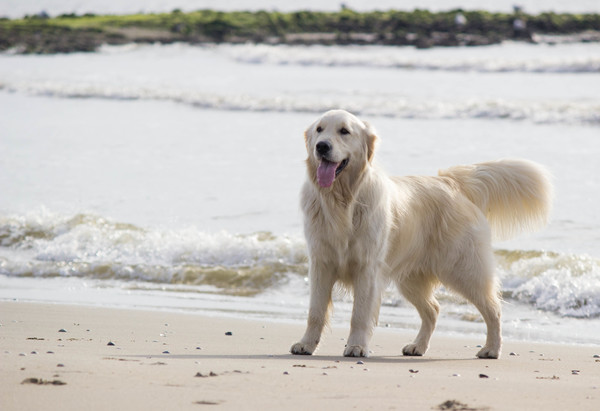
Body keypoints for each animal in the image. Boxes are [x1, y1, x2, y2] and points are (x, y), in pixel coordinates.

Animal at [290, 110, 552, 360]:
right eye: (319, 129)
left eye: (344, 131)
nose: (321, 146)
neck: (342, 202)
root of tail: (450, 182)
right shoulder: (321, 264)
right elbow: (315, 312)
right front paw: (306, 344)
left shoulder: (367, 269)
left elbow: (360, 315)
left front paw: (356, 346)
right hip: (411, 279)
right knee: (433, 310)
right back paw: (418, 346)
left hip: (464, 269)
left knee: (493, 309)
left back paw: (491, 349)